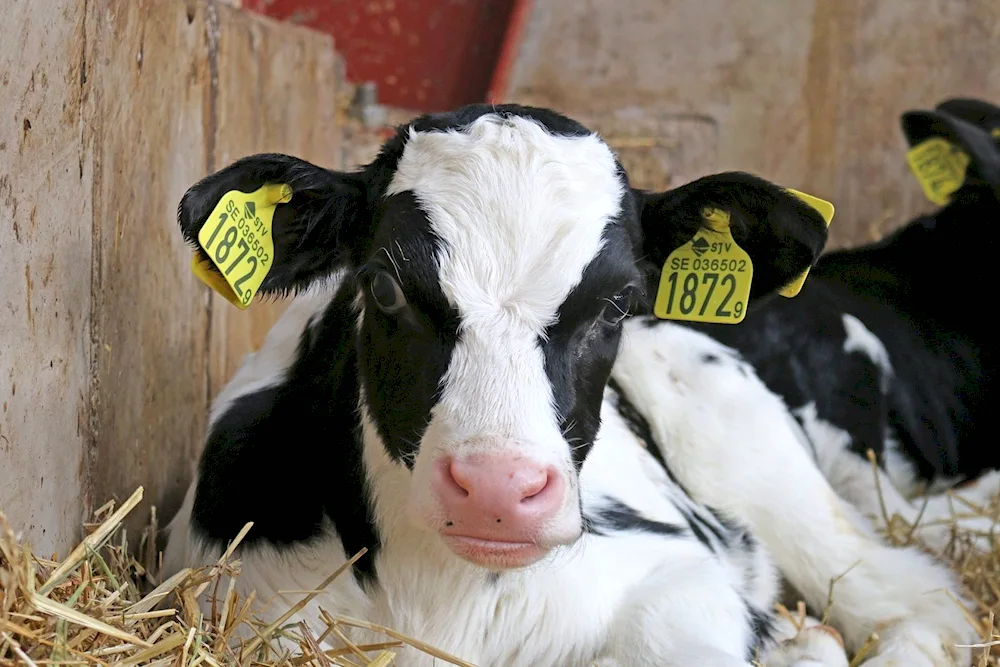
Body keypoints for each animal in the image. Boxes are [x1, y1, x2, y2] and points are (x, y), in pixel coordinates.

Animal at [162, 104, 968, 667]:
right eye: (384, 287)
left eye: (616, 302)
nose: (496, 488)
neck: (445, 599)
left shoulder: (681, 574)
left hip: (763, 469)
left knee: (918, 598)